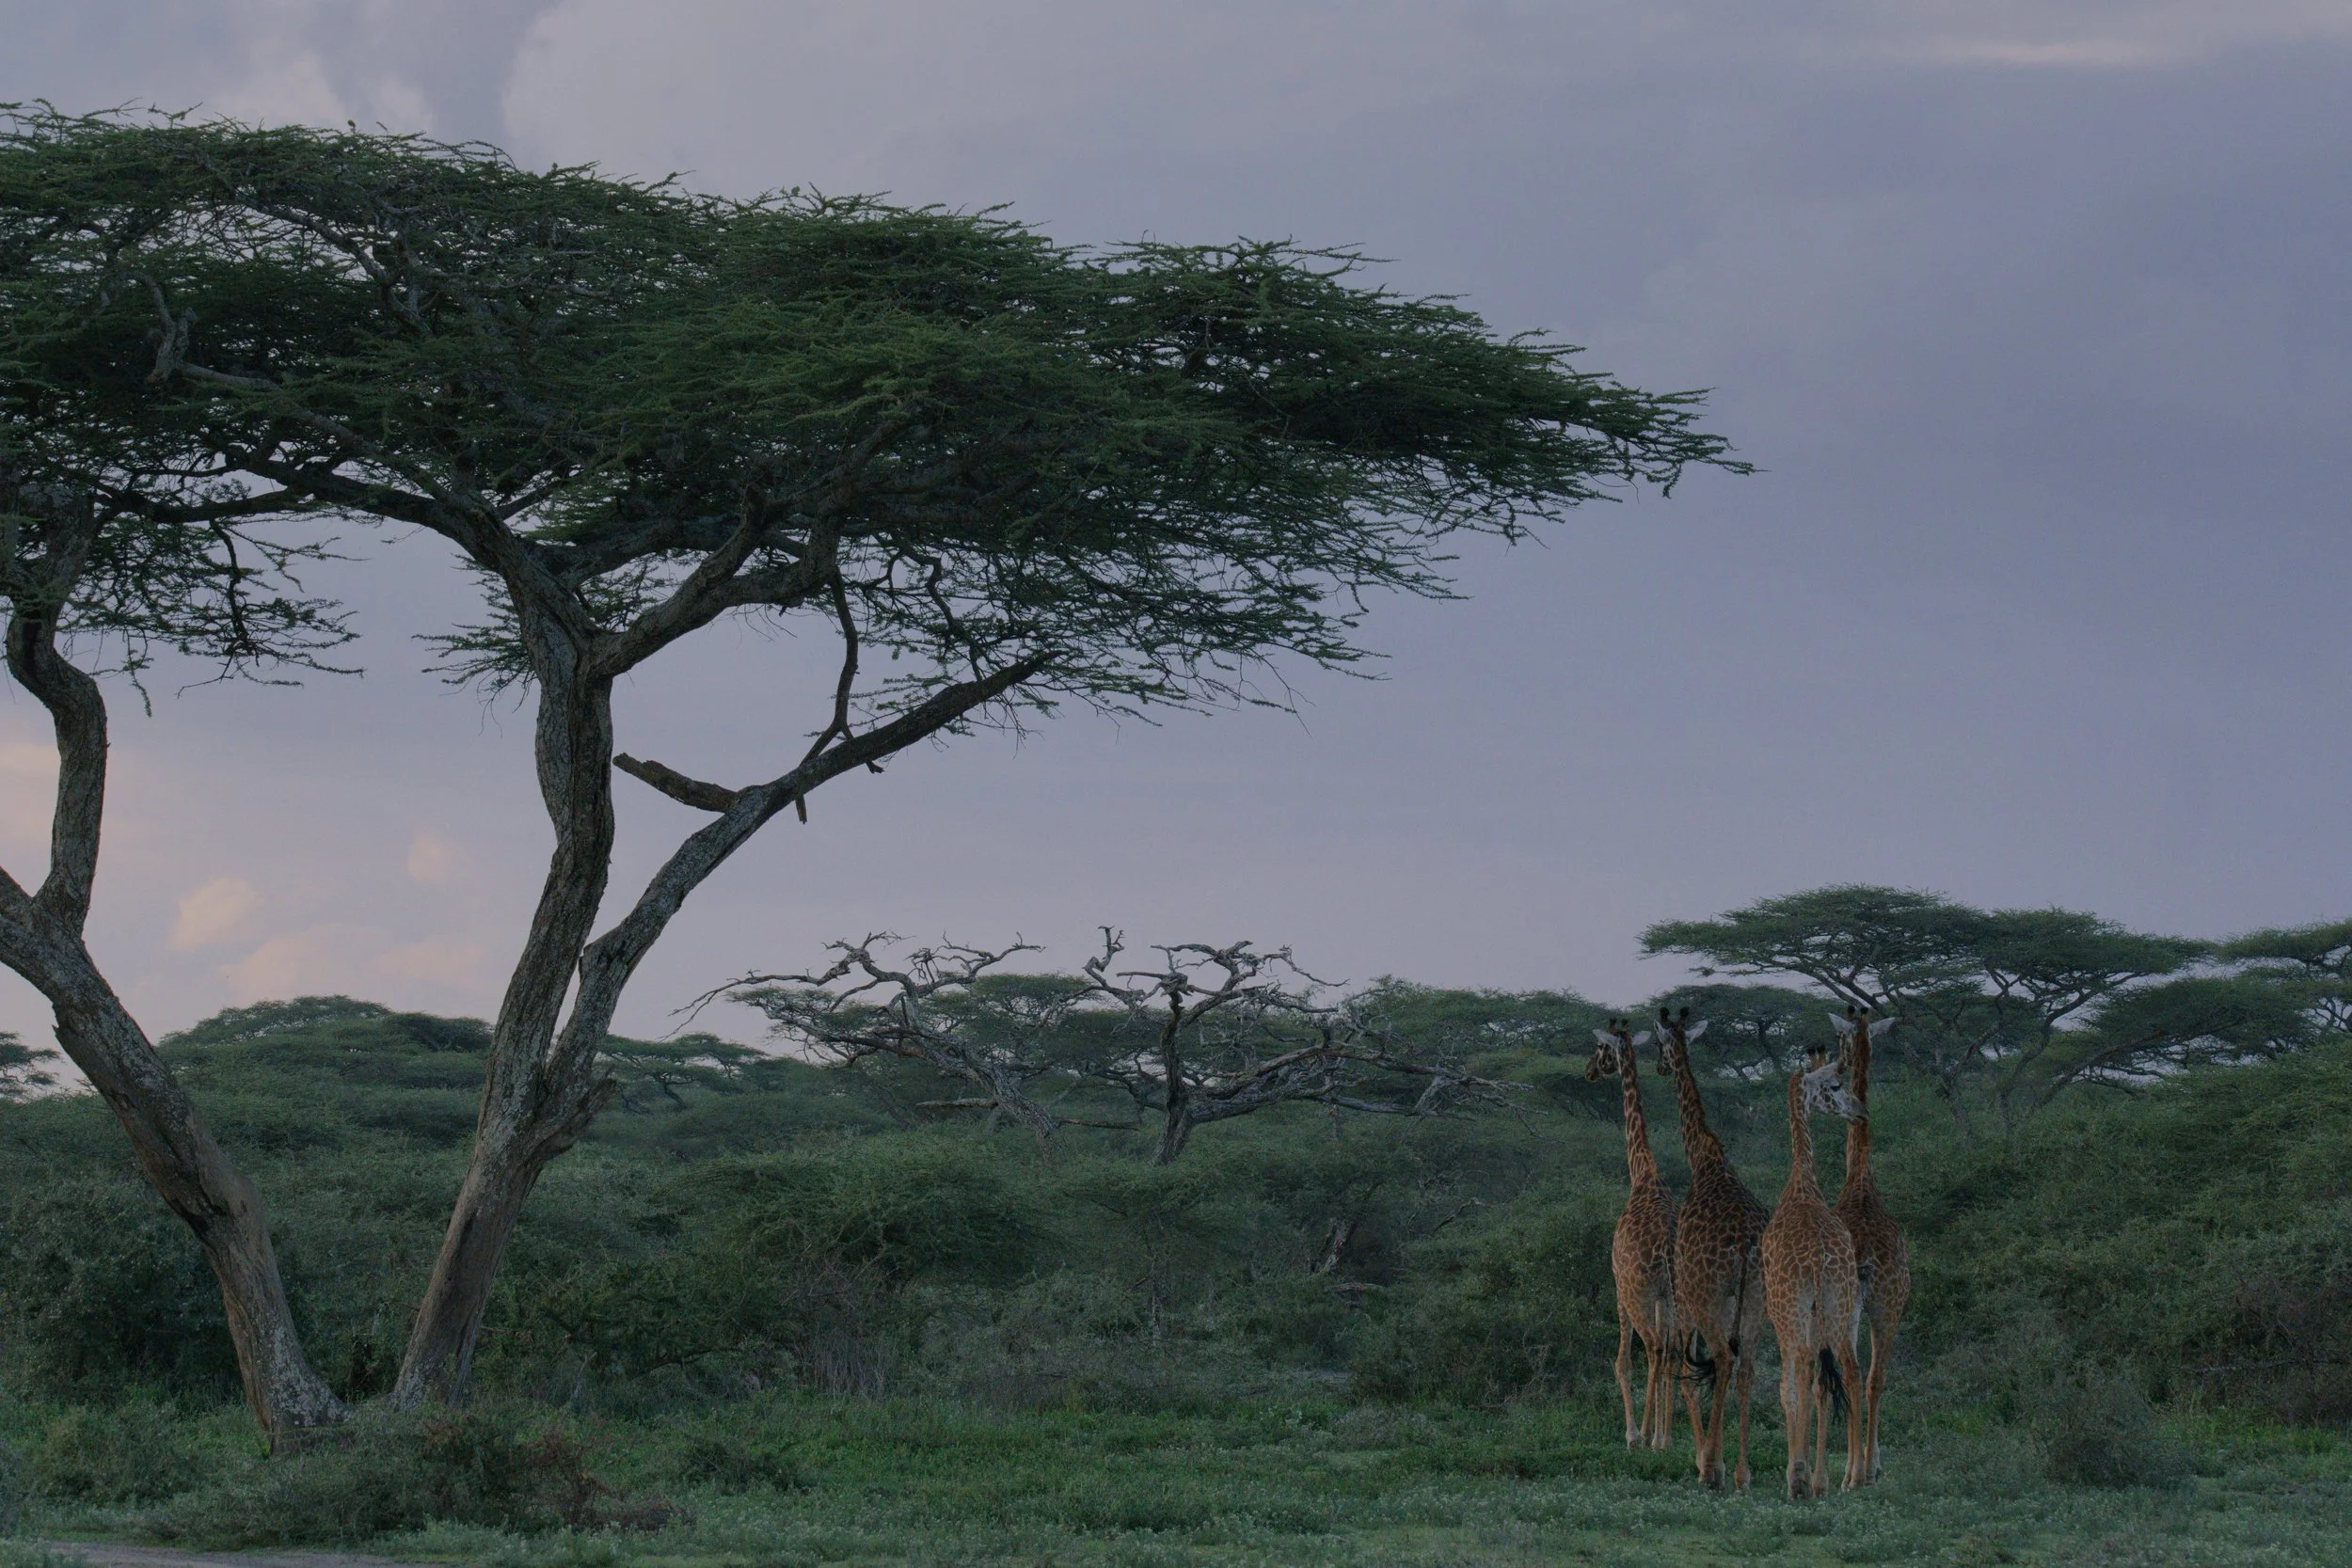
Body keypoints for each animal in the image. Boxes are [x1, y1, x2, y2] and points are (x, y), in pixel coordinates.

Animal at [1586, 1018, 1696, 1449]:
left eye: (1600, 1049)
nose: (1589, 1071)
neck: (1642, 1172)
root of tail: (1666, 1246)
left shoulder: (1619, 1283)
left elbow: (1622, 1361)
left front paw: (1633, 1432)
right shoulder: (1666, 1295)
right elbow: (1668, 1350)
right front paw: (1660, 1431)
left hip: (1639, 1292)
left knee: (1651, 1347)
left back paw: (1648, 1435)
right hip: (1679, 1293)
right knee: (1674, 1349)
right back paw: (1666, 1437)